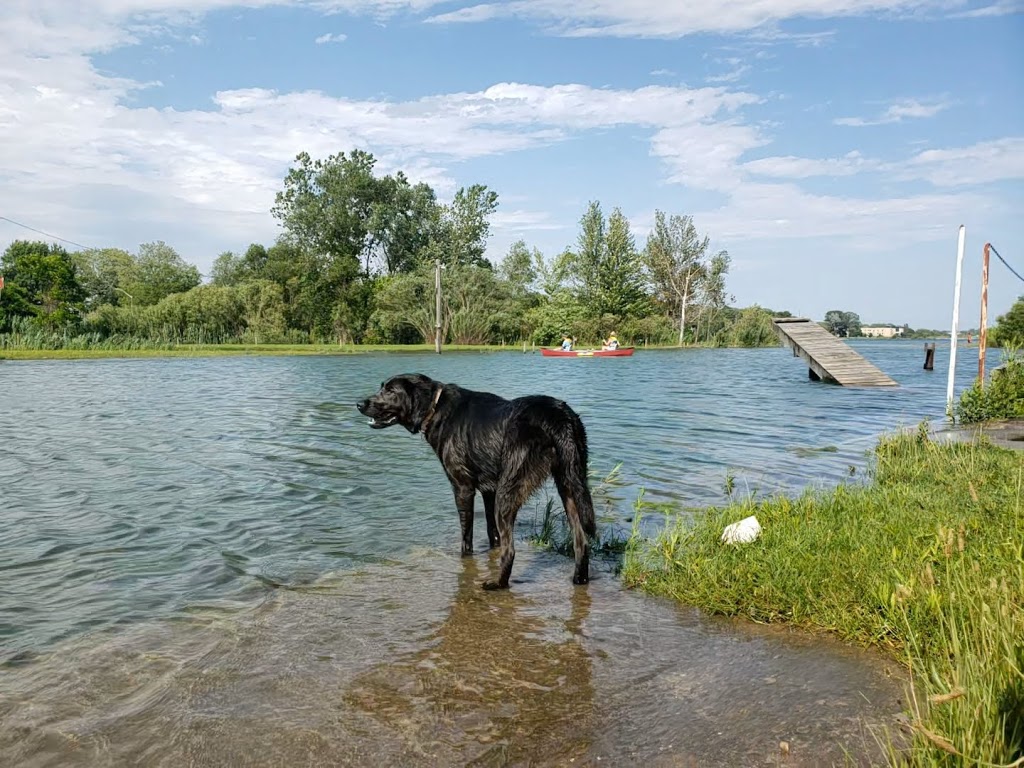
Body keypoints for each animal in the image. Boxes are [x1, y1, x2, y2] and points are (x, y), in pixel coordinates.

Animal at [360, 376, 598, 593]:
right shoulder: (489, 491)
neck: (436, 407)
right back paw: (579, 580)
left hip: (508, 490)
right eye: (382, 387)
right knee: (581, 542)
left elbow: (467, 536)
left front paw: (465, 560)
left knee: (510, 550)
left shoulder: (463, 488)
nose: (359, 404)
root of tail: (559, 416)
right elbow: (493, 533)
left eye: (390, 391)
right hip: (570, 485)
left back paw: (497, 584)